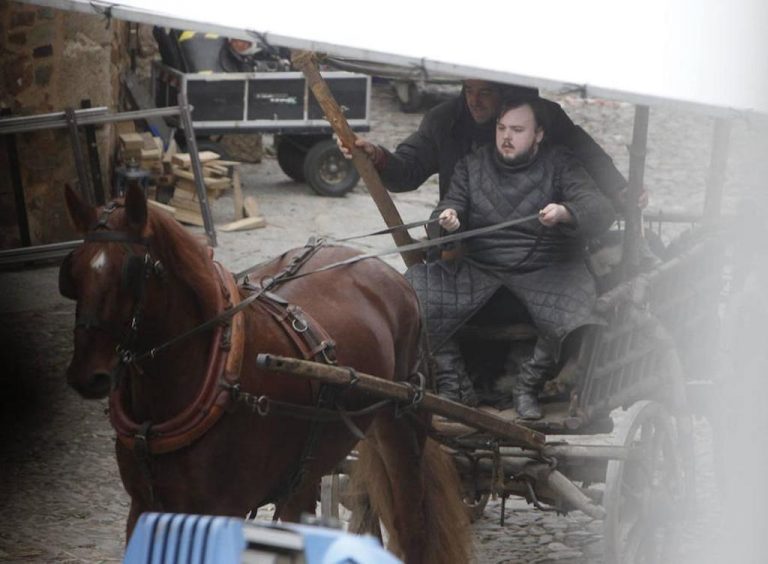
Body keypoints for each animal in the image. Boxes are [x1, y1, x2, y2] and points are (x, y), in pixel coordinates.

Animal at [60, 185, 472, 564]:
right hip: (309, 465)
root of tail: (386, 271)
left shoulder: (223, 511)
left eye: (131, 272)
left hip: (402, 429)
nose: (85, 375)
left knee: (413, 525)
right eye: (72, 272)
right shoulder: (143, 506)